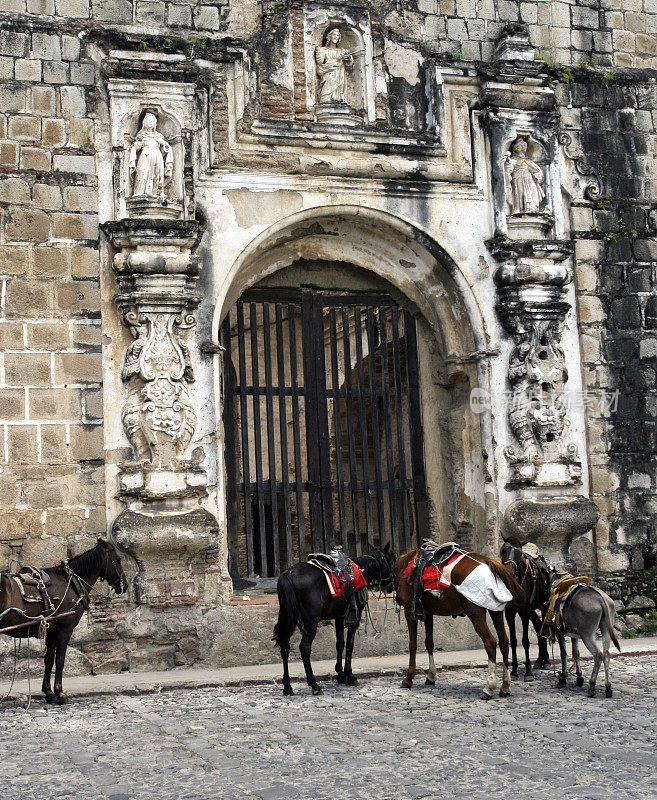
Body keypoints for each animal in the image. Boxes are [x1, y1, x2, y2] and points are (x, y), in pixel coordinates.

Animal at [0, 540, 127, 704]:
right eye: (118, 560)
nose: (125, 585)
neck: (71, 582)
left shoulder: (51, 630)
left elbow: (48, 660)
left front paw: (48, 692)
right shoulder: (65, 629)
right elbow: (60, 660)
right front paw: (60, 692)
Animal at [272, 544, 394, 692]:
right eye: (390, 561)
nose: (391, 586)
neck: (362, 570)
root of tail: (287, 574)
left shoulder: (339, 617)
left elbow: (340, 643)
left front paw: (340, 674)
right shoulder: (355, 616)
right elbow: (350, 645)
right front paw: (350, 676)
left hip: (289, 618)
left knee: (284, 645)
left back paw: (287, 686)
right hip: (311, 621)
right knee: (304, 648)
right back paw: (314, 684)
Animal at [392, 552, 524, 700]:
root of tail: (487, 561)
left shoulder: (410, 612)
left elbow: (412, 644)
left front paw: (408, 678)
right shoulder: (428, 613)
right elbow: (429, 643)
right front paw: (431, 676)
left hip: (475, 612)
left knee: (490, 642)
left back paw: (489, 687)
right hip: (496, 611)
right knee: (504, 642)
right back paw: (505, 686)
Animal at [500, 536, 552, 680]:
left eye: (519, 554)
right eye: (503, 550)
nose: (509, 573)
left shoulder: (523, 611)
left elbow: (525, 641)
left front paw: (528, 671)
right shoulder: (509, 612)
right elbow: (513, 640)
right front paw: (514, 671)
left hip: (543, 605)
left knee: (543, 628)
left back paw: (546, 661)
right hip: (531, 610)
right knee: (538, 626)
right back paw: (540, 660)